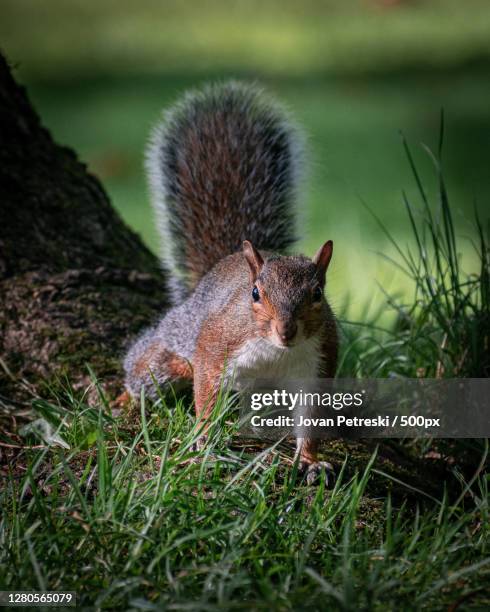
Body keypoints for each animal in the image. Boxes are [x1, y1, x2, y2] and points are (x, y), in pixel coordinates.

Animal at [122, 81, 338, 482]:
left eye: (317, 294)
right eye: (255, 293)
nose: (286, 330)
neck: (274, 350)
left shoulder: (319, 362)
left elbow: (312, 417)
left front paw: (311, 460)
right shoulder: (217, 343)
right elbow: (206, 390)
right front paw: (204, 440)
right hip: (172, 350)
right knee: (146, 370)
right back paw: (125, 396)